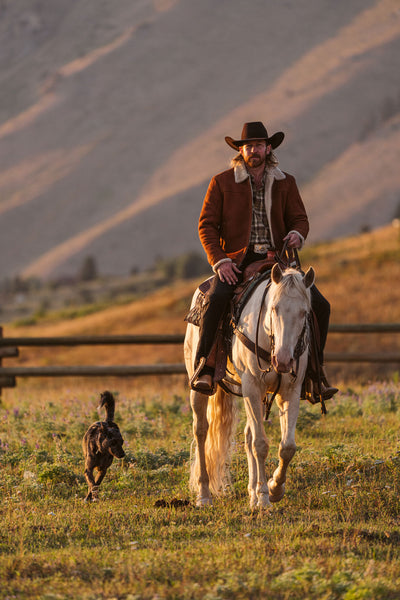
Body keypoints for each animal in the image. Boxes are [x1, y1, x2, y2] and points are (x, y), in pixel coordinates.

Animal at [184, 262, 316, 506]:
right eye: (274, 308)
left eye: (304, 312)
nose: (283, 360)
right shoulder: (252, 387)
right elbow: (260, 444)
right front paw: (264, 497)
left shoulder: (289, 392)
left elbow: (287, 447)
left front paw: (274, 488)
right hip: (199, 387)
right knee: (201, 430)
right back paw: (204, 494)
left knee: (247, 434)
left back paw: (252, 492)